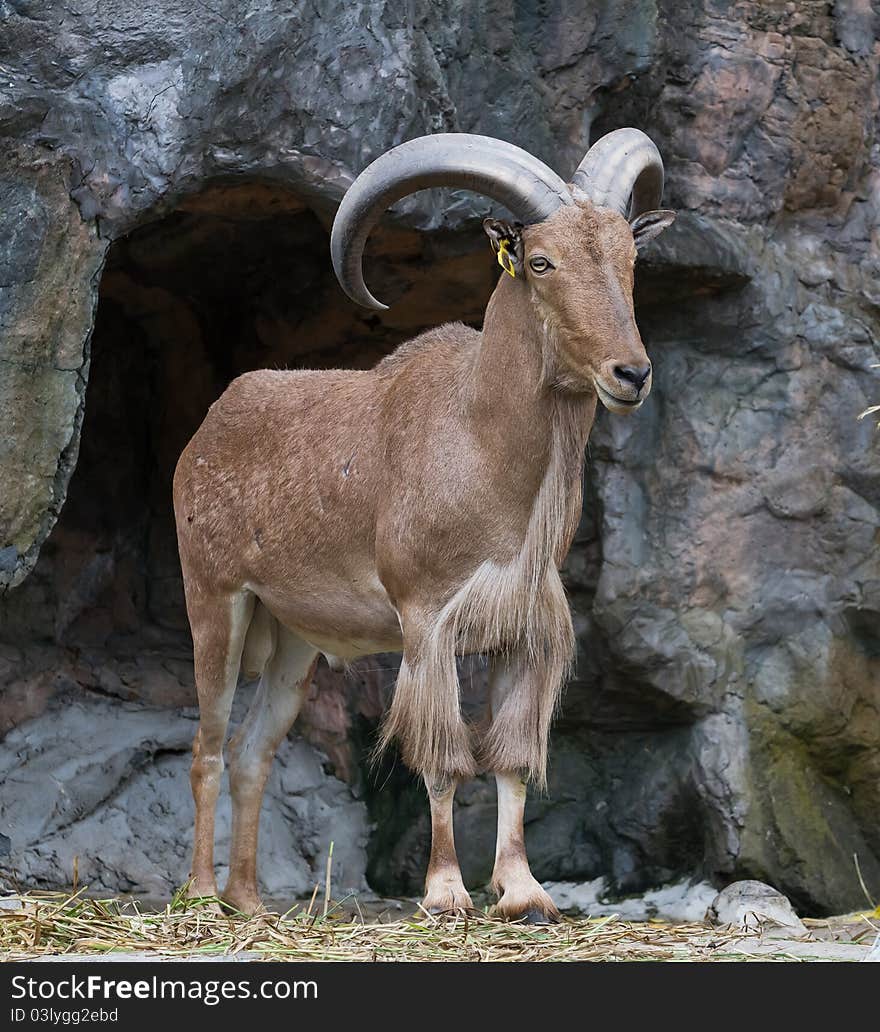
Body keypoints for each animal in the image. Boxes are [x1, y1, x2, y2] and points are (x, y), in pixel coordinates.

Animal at [175, 126, 676, 920]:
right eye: (541, 262)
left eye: (629, 260)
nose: (630, 375)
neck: (481, 442)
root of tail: (206, 433)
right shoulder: (426, 622)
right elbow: (443, 760)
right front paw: (446, 893)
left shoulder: (522, 633)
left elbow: (508, 759)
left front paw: (524, 892)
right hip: (215, 603)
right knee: (209, 746)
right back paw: (199, 896)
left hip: (291, 638)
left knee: (254, 751)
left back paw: (250, 902)